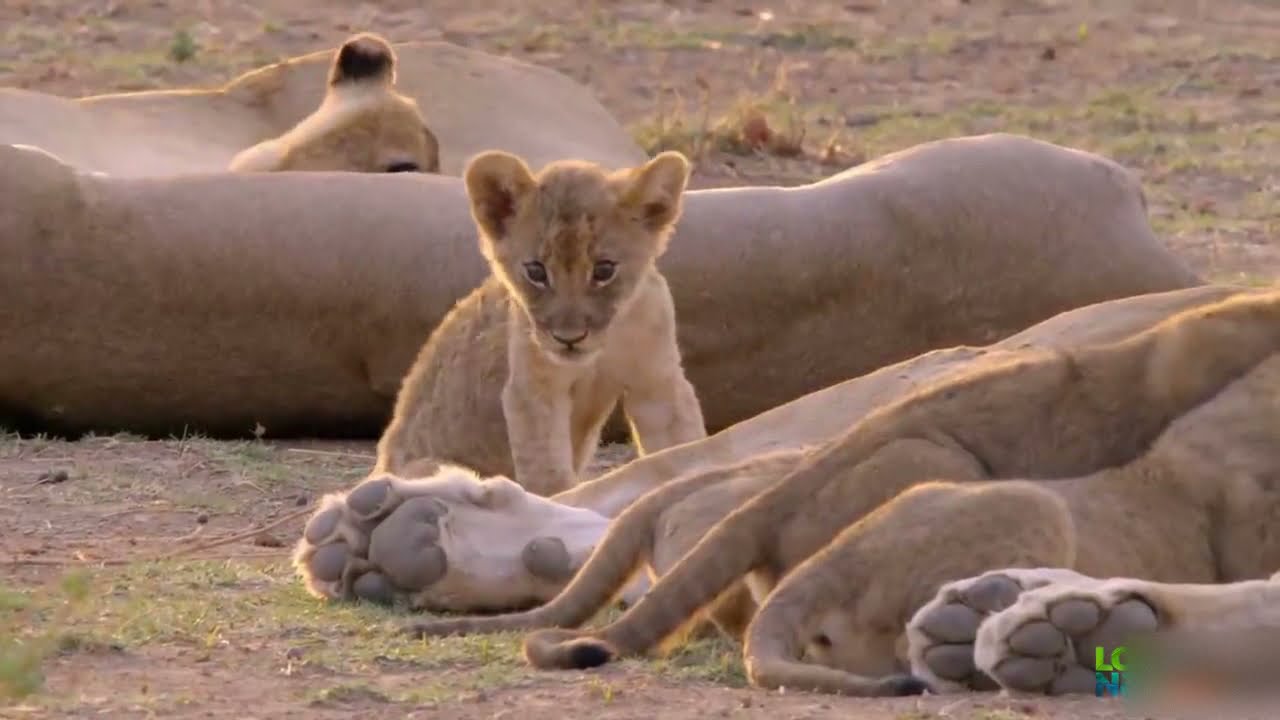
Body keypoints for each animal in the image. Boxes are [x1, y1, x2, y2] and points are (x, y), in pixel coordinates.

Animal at [374, 149, 706, 497]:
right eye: (536, 271)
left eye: (604, 270)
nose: (569, 338)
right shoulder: (532, 391)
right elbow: (547, 474)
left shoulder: (657, 382)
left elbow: (681, 445)